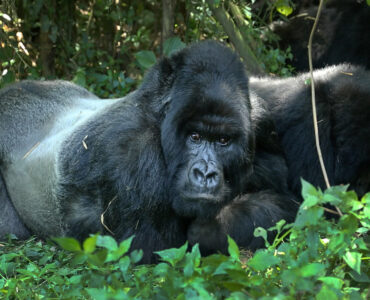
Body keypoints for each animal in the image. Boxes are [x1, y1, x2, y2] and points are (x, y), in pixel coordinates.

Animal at [0, 41, 294, 262]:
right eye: (195, 137)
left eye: (223, 140)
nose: (205, 173)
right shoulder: (130, 150)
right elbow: (153, 251)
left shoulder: (261, 121)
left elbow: (285, 202)